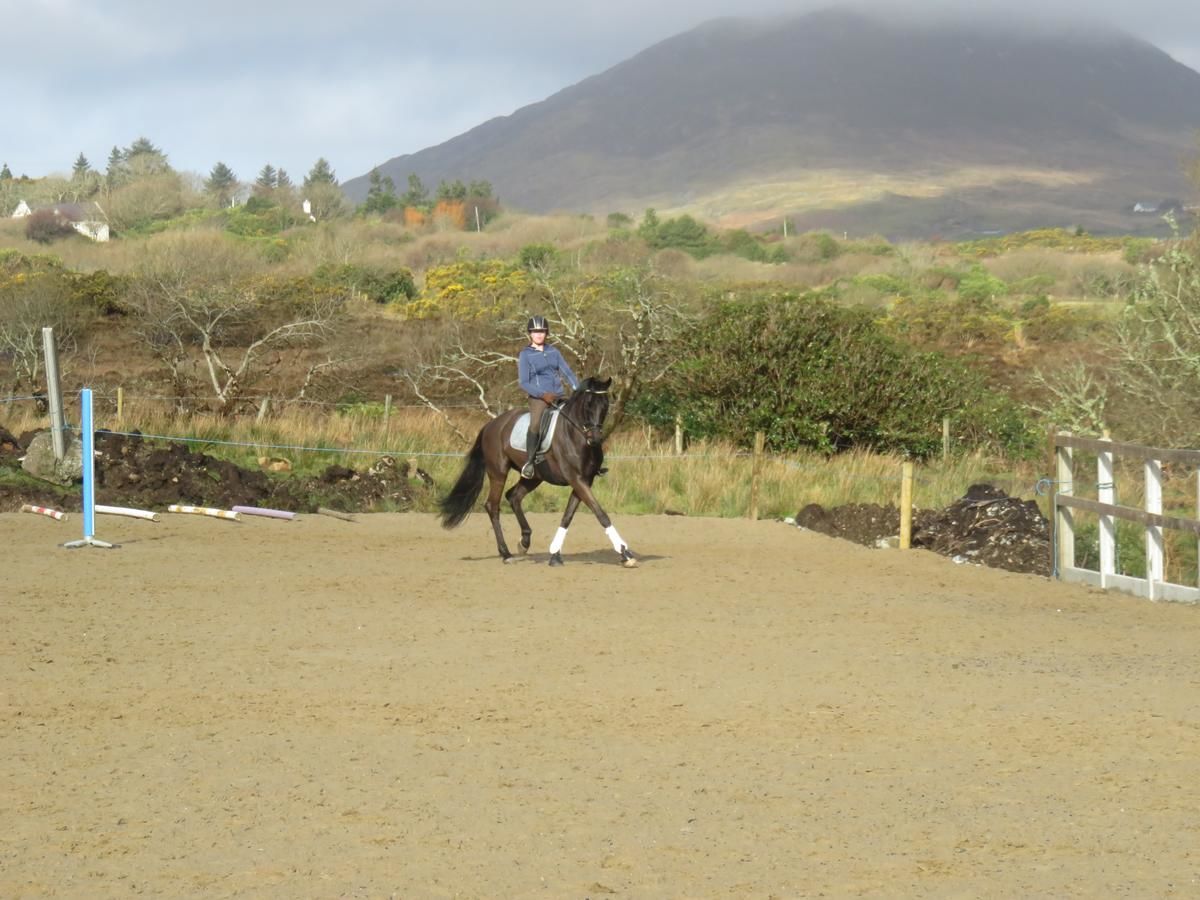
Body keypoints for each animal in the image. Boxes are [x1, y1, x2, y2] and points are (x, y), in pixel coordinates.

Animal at [441, 376, 638, 566]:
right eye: (588, 404)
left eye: (605, 405)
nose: (595, 440)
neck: (577, 436)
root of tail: (492, 424)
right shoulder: (576, 479)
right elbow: (600, 514)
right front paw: (625, 553)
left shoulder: (583, 481)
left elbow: (567, 517)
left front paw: (555, 554)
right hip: (498, 472)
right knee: (493, 506)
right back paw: (506, 554)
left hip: (534, 477)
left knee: (514, 496)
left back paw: (524, 542)